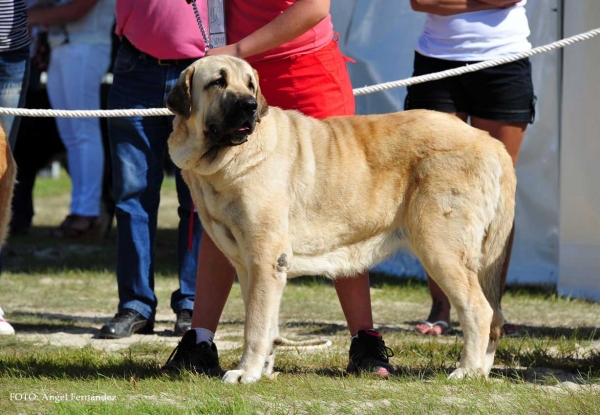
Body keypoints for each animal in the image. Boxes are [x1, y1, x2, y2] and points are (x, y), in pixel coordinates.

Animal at [165, 56, 516, 386]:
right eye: (218, 82)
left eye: (251, 85)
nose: (250, 106)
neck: (228, 160)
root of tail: (492, 143)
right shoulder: (250, 264)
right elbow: (266, 321)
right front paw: (261, 370)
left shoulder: (265, 258)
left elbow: (255, 323)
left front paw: (245, 372)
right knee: (494, 318)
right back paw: (481, 371)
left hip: (439, 247)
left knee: (479, 310)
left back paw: (466, 371)